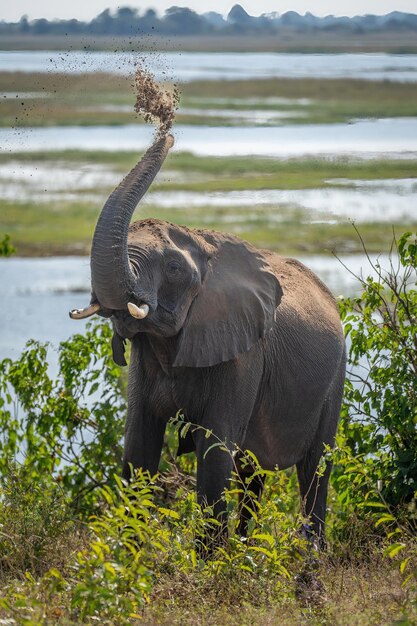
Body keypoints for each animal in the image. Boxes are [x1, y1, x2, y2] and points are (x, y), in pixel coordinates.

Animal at [70, 133, 344, 544]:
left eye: (172, 267)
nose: (167, 132)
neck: (203, 243)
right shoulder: (146, 358)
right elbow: (138, 447)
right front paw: (129, 554)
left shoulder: (244, 355)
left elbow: (214, 453)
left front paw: (209, 557)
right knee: (252, 473)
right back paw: (247, 548)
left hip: (335, 376)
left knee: (315, 469)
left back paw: (310, 554)